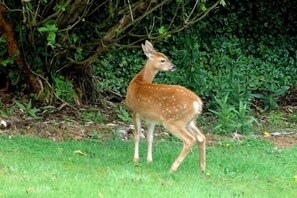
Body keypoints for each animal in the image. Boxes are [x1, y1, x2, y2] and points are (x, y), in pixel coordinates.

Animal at [123, 40, 205, 172]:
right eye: (162, 60)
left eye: (166, 58)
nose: (173, 66)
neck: (139, 80)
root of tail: (197, 103)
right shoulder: (151, 118)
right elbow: (150, 137)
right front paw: (149, 161)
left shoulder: (134, 112)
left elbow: (136, 135)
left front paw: (135, 160)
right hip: (189, 121)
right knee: (201, 137)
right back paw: (202, 168)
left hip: (173, 121)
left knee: (190, 140)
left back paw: (172, 168)